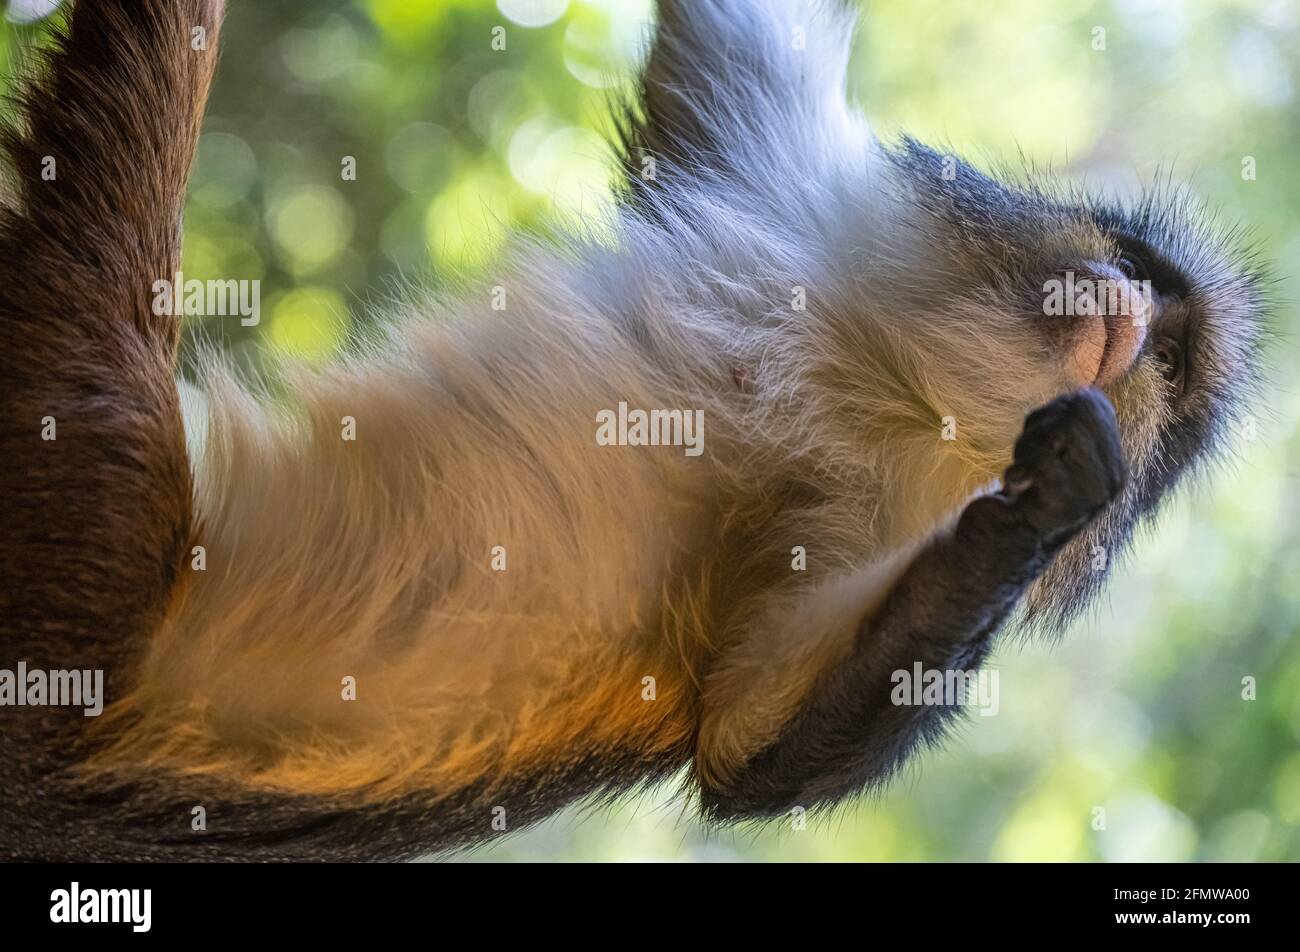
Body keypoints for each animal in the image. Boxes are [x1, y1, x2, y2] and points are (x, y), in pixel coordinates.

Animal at [0, 0, 1263, 863]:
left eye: (1172, 364)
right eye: (1147, 279)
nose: (1131, 312)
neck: (885, 376)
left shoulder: (876, 523)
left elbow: (747, 735)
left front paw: (1048, 505)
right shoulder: (775, 169)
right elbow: (733, 26)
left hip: (84, 545)